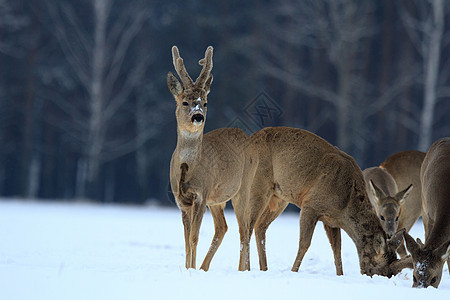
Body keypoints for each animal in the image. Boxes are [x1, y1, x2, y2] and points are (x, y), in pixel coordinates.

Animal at [167, 45, 256, 272]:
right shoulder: (182, 201)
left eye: (205, 103)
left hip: (243, 188)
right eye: (185, 101)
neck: (188, 167)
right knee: (223, 227)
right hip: (218, 199)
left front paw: (190, 269)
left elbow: (194, 238)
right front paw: (189, 268)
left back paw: (242, 270)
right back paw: (204, 267)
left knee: (245, 229)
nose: (198, 116)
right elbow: (186, 240)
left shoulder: (201, 194)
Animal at [250, 126, 412, 276]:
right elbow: (304, 243)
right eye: (382, 271)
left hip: (279, 197)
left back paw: (264, 268)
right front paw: (293, 271)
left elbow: (337, 249)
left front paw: (340, 275)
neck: (346, 205)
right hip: (258, 184)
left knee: (260, 226)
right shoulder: (311, 205)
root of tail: (252, 137)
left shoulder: (332, 220)